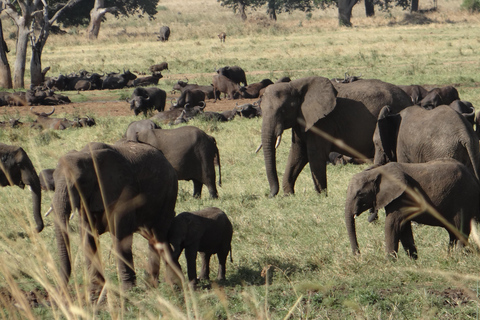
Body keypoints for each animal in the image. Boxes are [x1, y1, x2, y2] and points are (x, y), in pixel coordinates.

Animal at [51, 141, 178, 294]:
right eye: (53, 181)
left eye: (81, 182)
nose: (58, 291)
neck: (88, 155)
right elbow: (87, 237)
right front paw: (95, 289)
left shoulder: (123, 190)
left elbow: (120, 236)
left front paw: (127, 291)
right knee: (152, 238)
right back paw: (152, 285)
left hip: (169, 194)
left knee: (159, 235)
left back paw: (170, 285)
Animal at [260, 77, 410, 198]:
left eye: (282, 110)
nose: (270, 195)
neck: (295, 86)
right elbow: (297, 153)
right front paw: (289, 195)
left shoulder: (323, 122)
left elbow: (314, 154)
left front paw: (321, 197)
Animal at [344, 159, 480, 258]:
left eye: (360, 194)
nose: (358, 256)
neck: (378, 171)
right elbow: (404, 228)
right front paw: (414, 261)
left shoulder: (401, 197)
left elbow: (392, 224)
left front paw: (389, 263)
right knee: (453, 232)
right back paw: (449, 256)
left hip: (464, 199)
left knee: (461, 229)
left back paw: (457, 256)